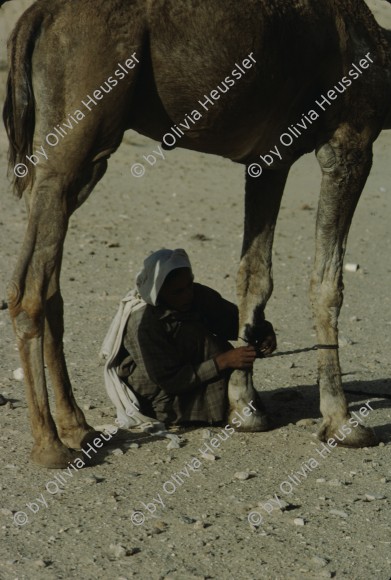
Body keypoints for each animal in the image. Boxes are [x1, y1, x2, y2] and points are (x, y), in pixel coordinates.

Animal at [1, 0, 390, 464]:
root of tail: (36, 17)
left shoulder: (270, 158)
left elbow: (253, 275)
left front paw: (246, 409)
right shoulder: (350, 139)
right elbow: (327, 284)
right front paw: (343, 422)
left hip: (68, 156)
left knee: (50, 281)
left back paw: (77, 428)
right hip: (76, 133)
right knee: (28, 288)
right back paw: (50, 446)